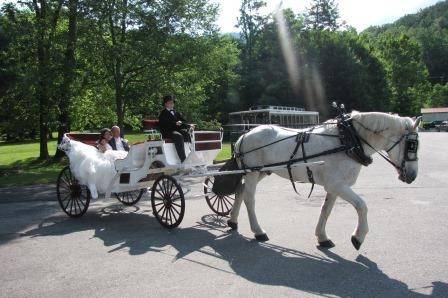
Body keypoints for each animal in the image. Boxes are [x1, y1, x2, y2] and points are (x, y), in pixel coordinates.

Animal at [228, 111, 420, 249]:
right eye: (412, 145)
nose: (412, 176)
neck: (348, 140)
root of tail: (243, 136)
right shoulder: (337, 185)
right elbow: (362, 206)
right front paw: (358, 237)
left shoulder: (335, 187)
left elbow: (326, 210)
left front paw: (322, 237)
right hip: (252, 173)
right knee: (249, 198)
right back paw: (258, 231)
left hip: (261, 172)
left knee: (240, 191)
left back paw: (233, 222)